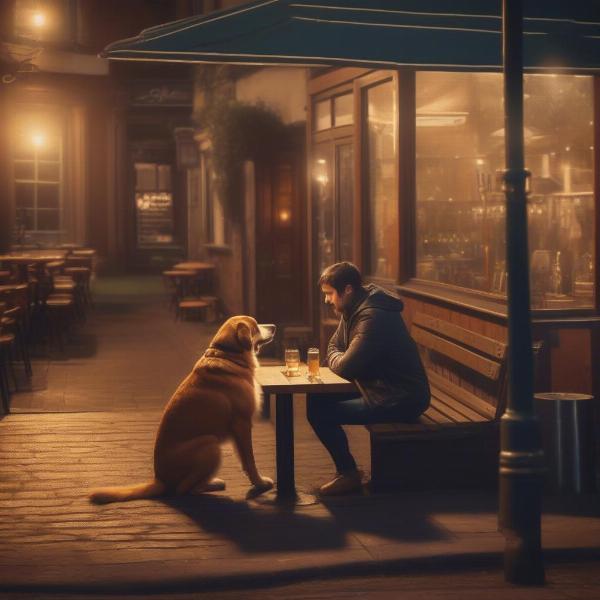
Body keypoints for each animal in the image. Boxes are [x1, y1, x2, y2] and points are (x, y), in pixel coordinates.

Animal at [88, 316, 276, 504]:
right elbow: (250, 460)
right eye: (256, 326)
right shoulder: (242, 424)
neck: (228, 354)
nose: (274, 326)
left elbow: (245, 460)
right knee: (184, 489)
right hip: (210, 444)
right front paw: (260, 483)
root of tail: (159, 480)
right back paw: (211, 485)